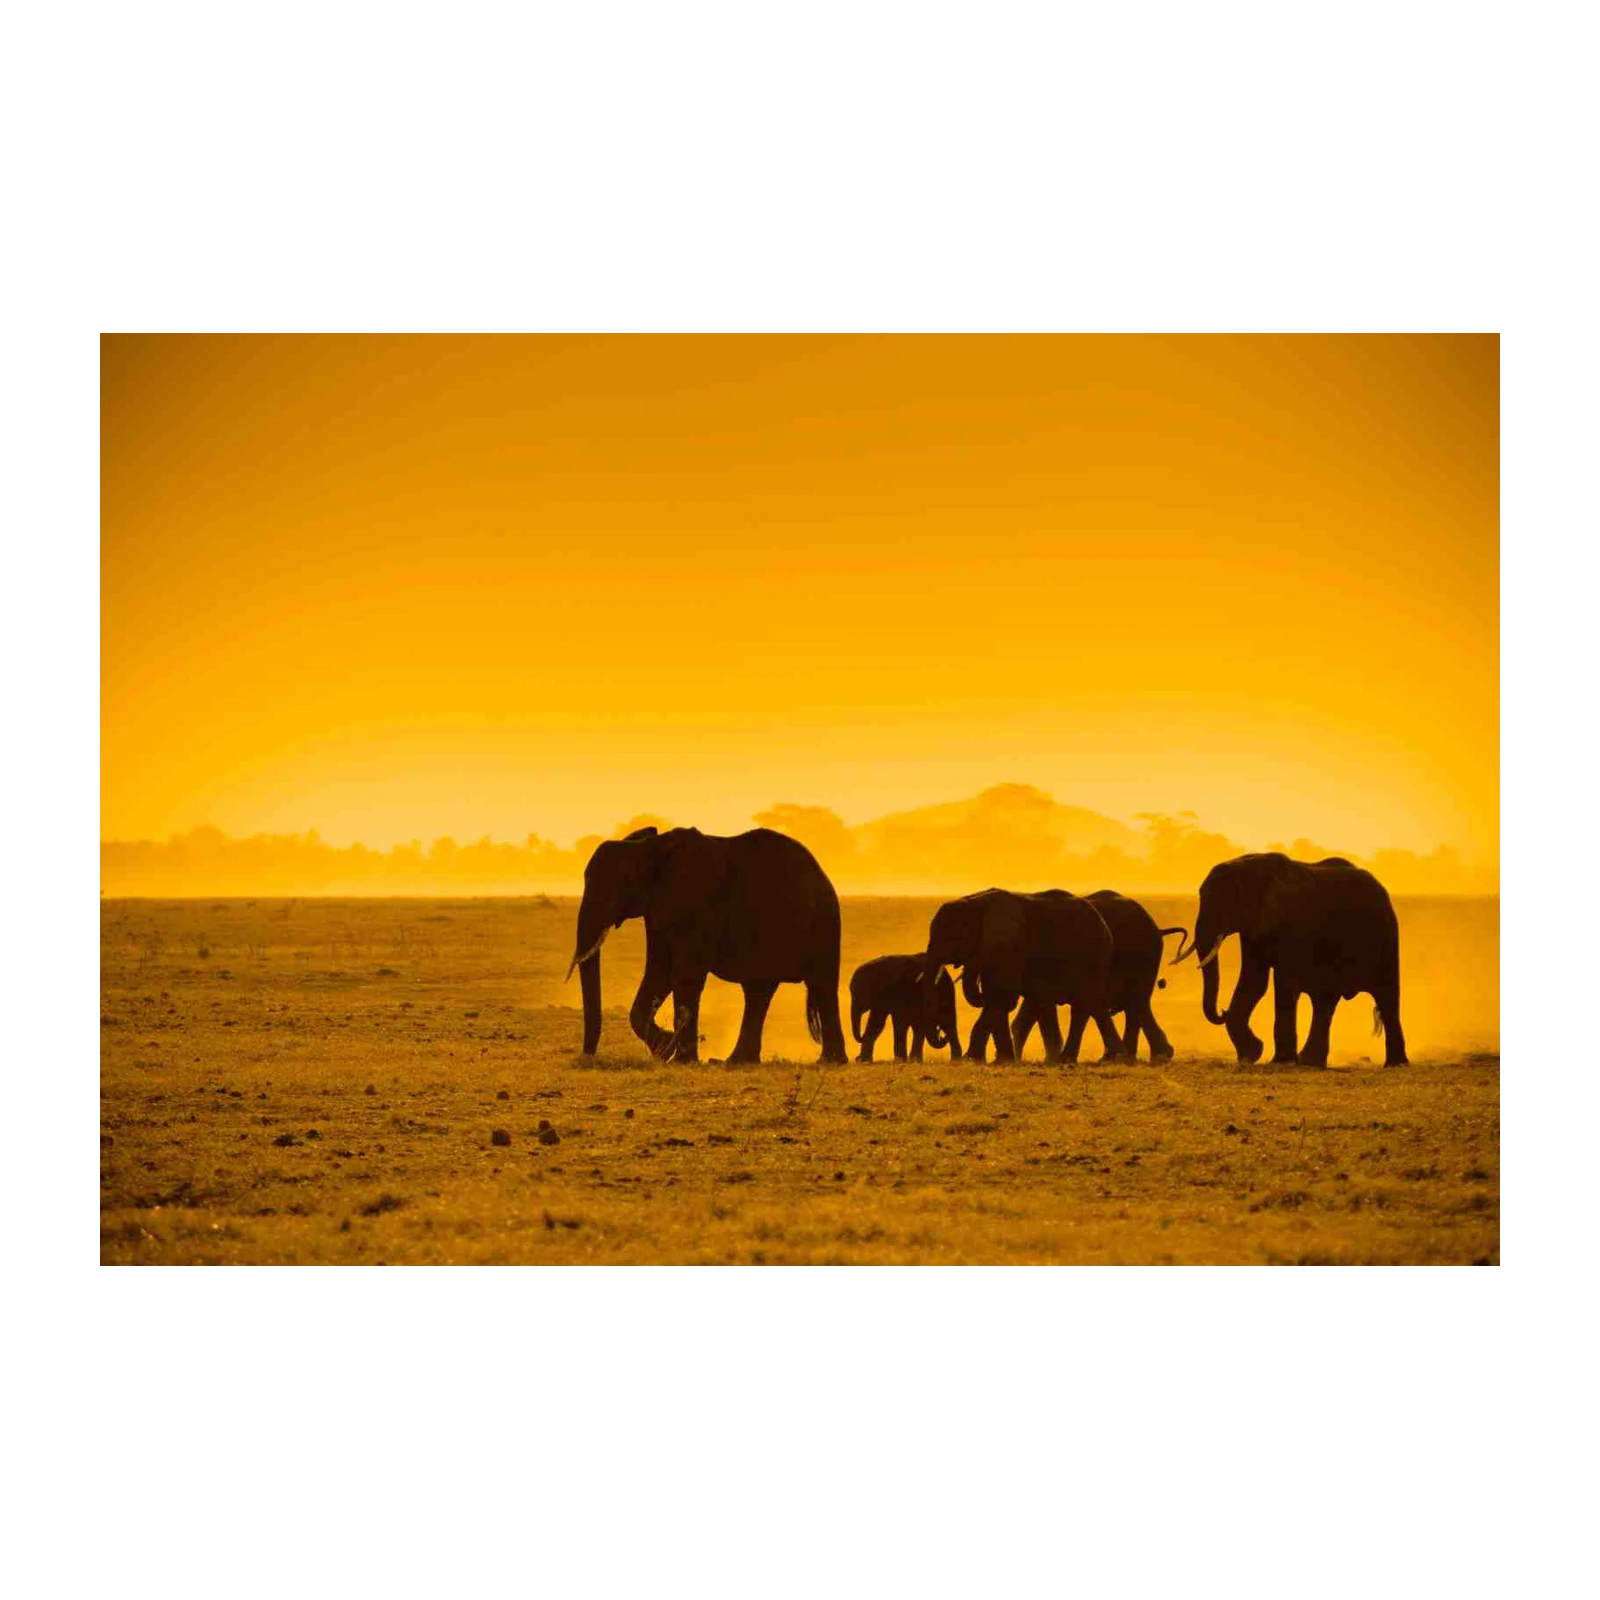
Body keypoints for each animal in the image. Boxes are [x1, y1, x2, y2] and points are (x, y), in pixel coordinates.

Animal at [568, 826, 848, 1065]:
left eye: (620, 882)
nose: (588, 1057)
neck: (648, 848)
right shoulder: (659, 908)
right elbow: (661, 971)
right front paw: (665, 1049)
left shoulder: (696, 904)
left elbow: (684, 974)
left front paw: (678, 1059)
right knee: (758, 991)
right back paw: (735, 1063)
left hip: (823, 924)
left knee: (820, 985)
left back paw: (829, 1062)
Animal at [921, 888, 1114, 1064]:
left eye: (951, 938)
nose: (941, 1035)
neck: (976, 902)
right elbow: (997, 998)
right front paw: (994, 1061)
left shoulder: (1008, 944)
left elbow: (1002, 997)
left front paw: (979, 1060)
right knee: (1075, 1003)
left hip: (1091, 957)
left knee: (1082, 1004)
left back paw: (1070, 1060)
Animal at [1173, 852, 1407, 1068]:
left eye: (1225, 902)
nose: (1222, 1012)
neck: (1250, 868)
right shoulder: (1254, 928)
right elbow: (1254, 982)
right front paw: (1251, 1055)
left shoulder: (1293, 925)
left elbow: (1284, 982)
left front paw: (1279, 1062)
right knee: (1325, 1001)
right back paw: (1310, 1063)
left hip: (1386, 935)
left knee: (1386, 996)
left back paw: (1395, 1065)